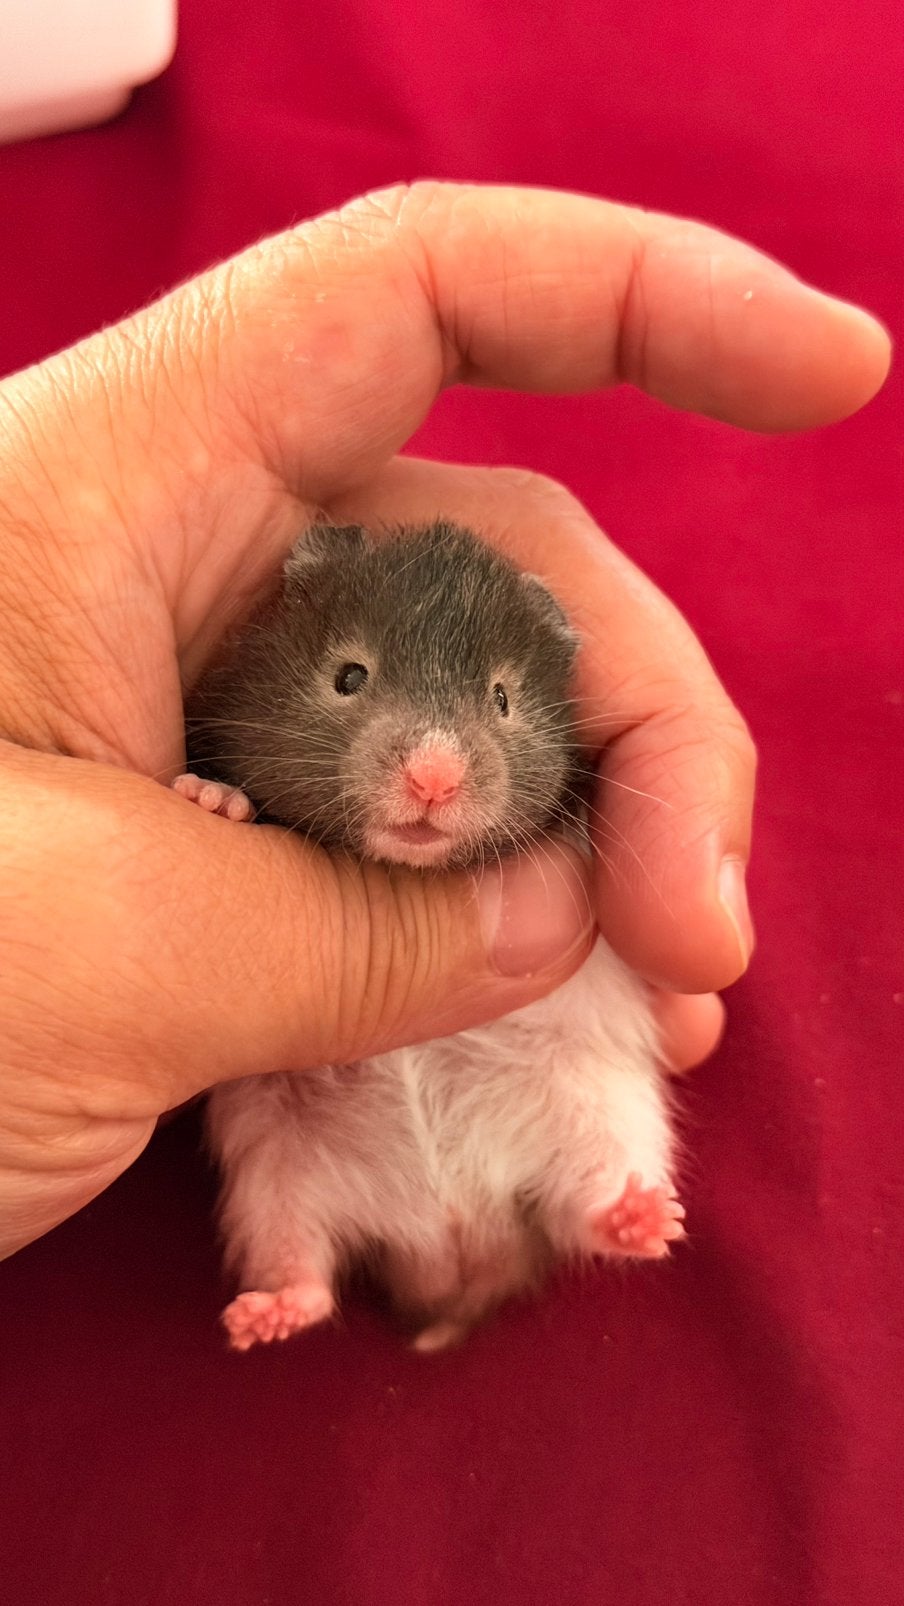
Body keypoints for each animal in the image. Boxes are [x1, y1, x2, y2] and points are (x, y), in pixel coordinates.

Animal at [175, 521, 684, 1352]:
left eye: (504, 698)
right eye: (349, 676)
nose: (433, 779)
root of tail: (455, 1252)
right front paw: (211, 800)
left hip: (606, 1111)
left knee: (586, 1209)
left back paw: (649, 1216)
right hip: (272, 1175)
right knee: (302, 1265)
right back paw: (260, 1319)